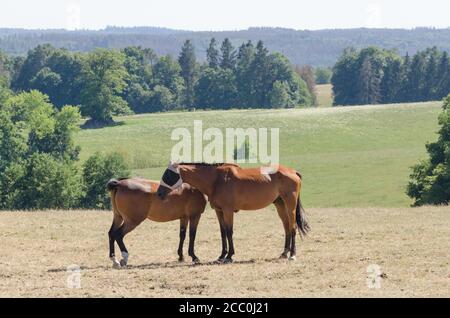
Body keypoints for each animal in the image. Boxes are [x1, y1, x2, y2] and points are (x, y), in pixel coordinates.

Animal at [157, 161, 310, 264]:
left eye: (169, 174)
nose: (159, 193)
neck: (216, 179)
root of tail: (293, 172)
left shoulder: (228, 210)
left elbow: (229, 232)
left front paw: (229, 256)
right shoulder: (219, 211)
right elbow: (223, 232)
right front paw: (222, 256)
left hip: (290, 206)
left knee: (292, 228)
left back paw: (292, 254)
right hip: (280, 205)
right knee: (286, 228)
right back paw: (284, 253)